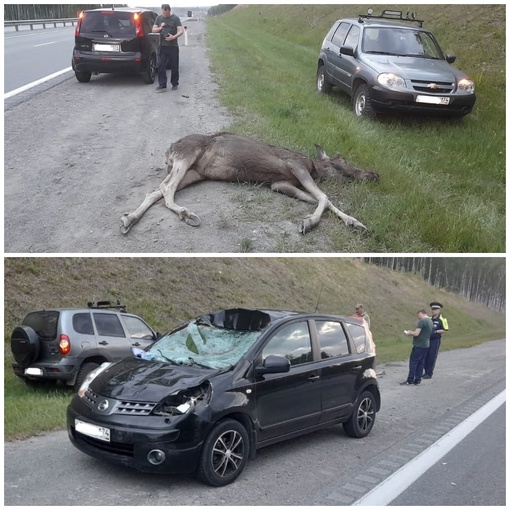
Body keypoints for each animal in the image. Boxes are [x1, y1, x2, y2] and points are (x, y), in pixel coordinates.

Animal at [120, 131, 378, 235]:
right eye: (340, 164)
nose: (374, 175)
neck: (314, 167)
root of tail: (168, 152)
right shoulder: (295, 165)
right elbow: (324, 196)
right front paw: (309, 223)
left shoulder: (280, 184)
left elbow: (317, 198)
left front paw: (355, 223)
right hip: (187, 155)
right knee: (166, 188)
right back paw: (186, 213)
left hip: (193, 173)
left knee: (155, 191)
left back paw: (129, 218)